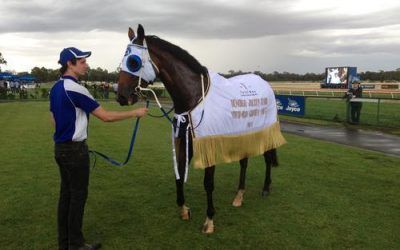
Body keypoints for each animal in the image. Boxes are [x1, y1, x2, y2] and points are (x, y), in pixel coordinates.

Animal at [115, 24, 284, 233]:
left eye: (133, 61)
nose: (122, 96)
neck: (194, 96)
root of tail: (265, 84)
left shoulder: (207, 144)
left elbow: (208, 183)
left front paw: (209, 220)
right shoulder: (184, 142)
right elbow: (179, 174)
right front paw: (184, 209)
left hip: (265, 131)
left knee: (268, 158)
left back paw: (266, 188)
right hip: (243, 133)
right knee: (244, 162)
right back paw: (239, 196)